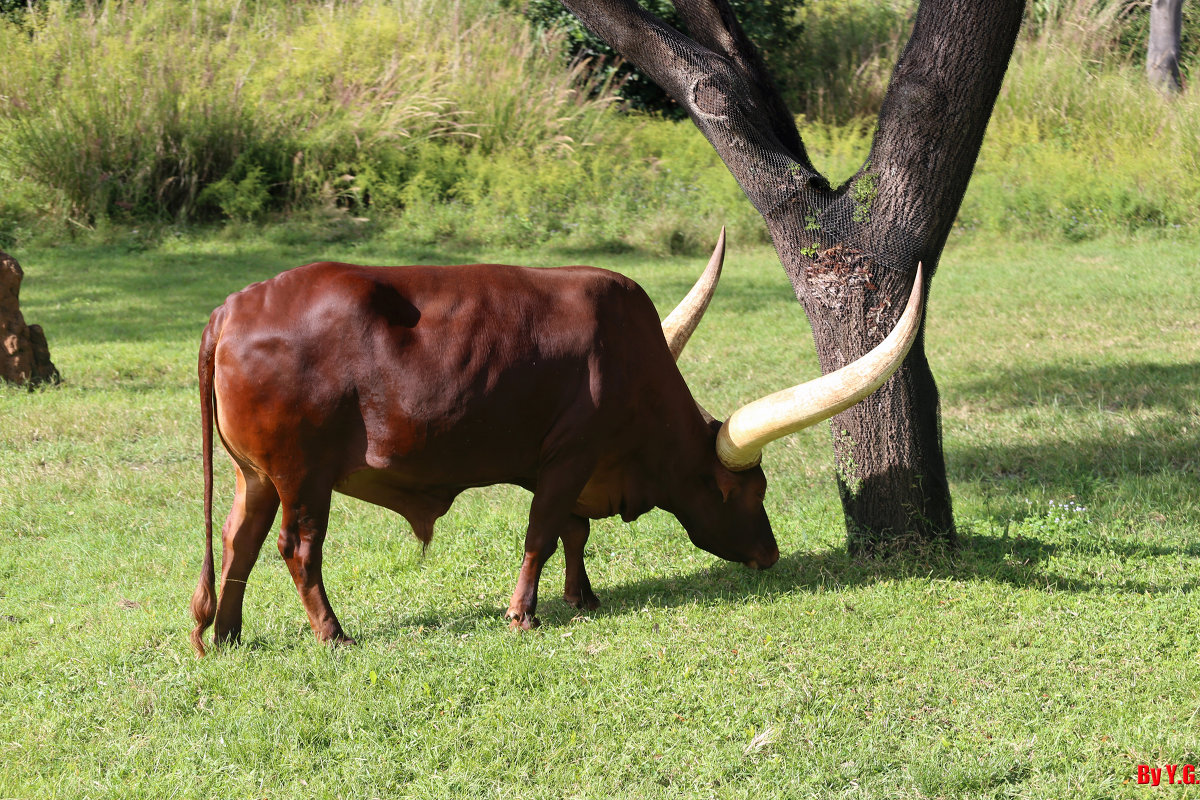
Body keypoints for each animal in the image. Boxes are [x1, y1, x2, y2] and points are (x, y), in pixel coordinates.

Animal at [187, 232, 921, 657]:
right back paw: (333, 634)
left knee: (238, 539)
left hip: (256, 476)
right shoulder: (567, 458)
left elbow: (575, 532)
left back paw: (226, 634)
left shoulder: (576, 469)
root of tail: (232, 309)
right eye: (745, 487)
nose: (770, 553)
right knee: (296, 548)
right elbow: (543, 532)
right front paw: (523, 614)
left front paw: (582, 597)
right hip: (302, 476)